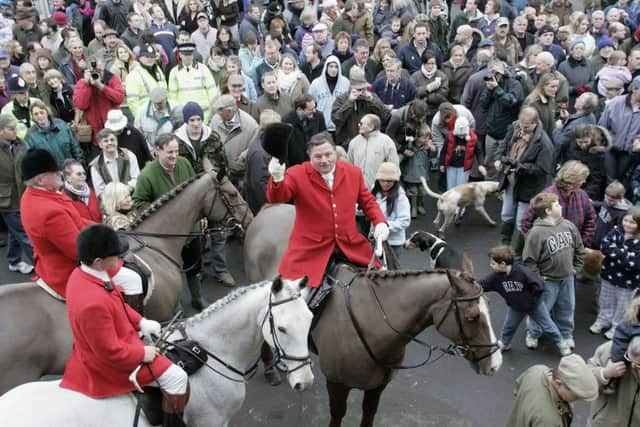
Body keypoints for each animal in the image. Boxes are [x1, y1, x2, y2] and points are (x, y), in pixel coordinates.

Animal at [242, 204, 502, 427]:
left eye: (490, 307)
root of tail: (272, 208)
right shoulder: (337, 384)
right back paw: (270, 369)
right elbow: (337, 414)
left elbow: (369, 413)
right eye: (471, 316)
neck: (375, 322)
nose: (495, 365)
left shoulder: (377, 387)